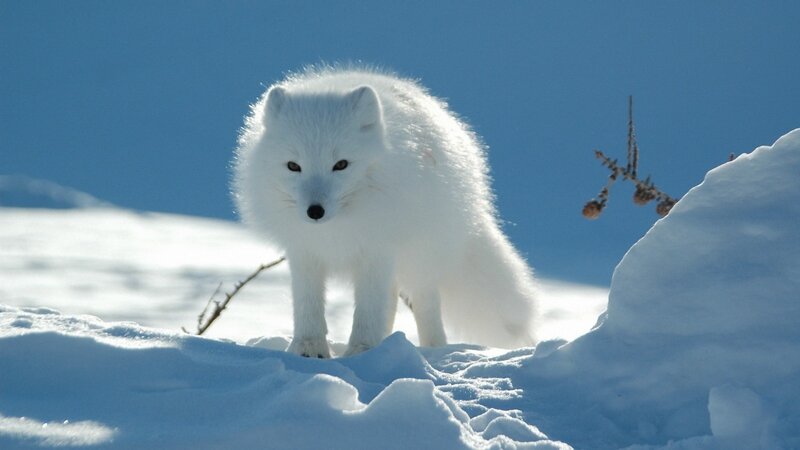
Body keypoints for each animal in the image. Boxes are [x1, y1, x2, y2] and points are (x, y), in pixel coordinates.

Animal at [233, 66, 537, 357]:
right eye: (293, 166)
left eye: (341, 164)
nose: (314, 211)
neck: (337, 228)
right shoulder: (304, 252)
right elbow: (308, 305)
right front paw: (309, 349)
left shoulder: (377, 249)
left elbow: (368, 310)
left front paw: (362, 351)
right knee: (390, 301)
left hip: (420, 256)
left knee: (424, 303)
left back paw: (432, 349)